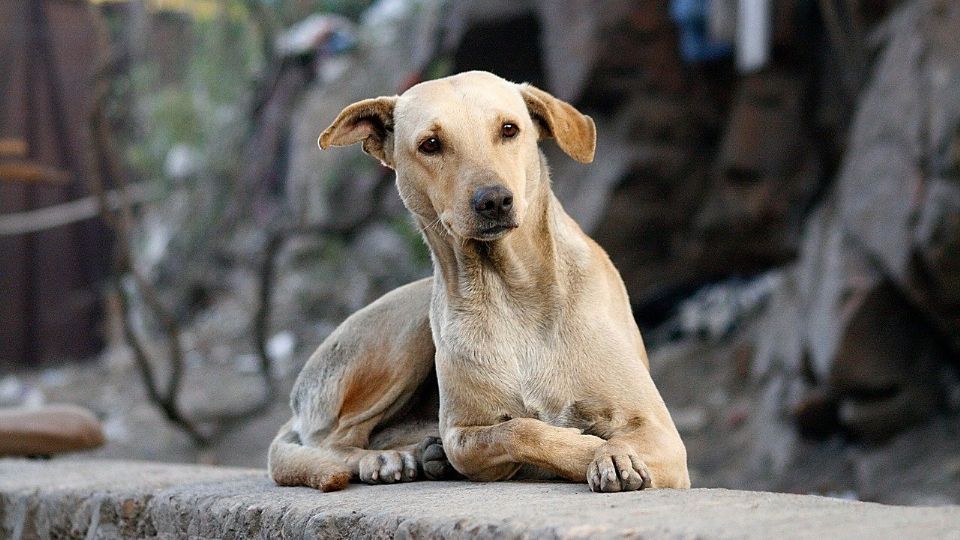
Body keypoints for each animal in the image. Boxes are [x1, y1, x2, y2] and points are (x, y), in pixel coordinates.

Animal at [270, 71, 688, 494]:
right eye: (431, 144)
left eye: (509, 129)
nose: (494, 200)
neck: (511, 291)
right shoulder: (463, 434)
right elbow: (517, 431)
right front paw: (587, 449)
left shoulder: (661, 433)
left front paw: (612, 454)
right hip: (402, 336)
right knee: (333, 439)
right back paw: (386, 458)